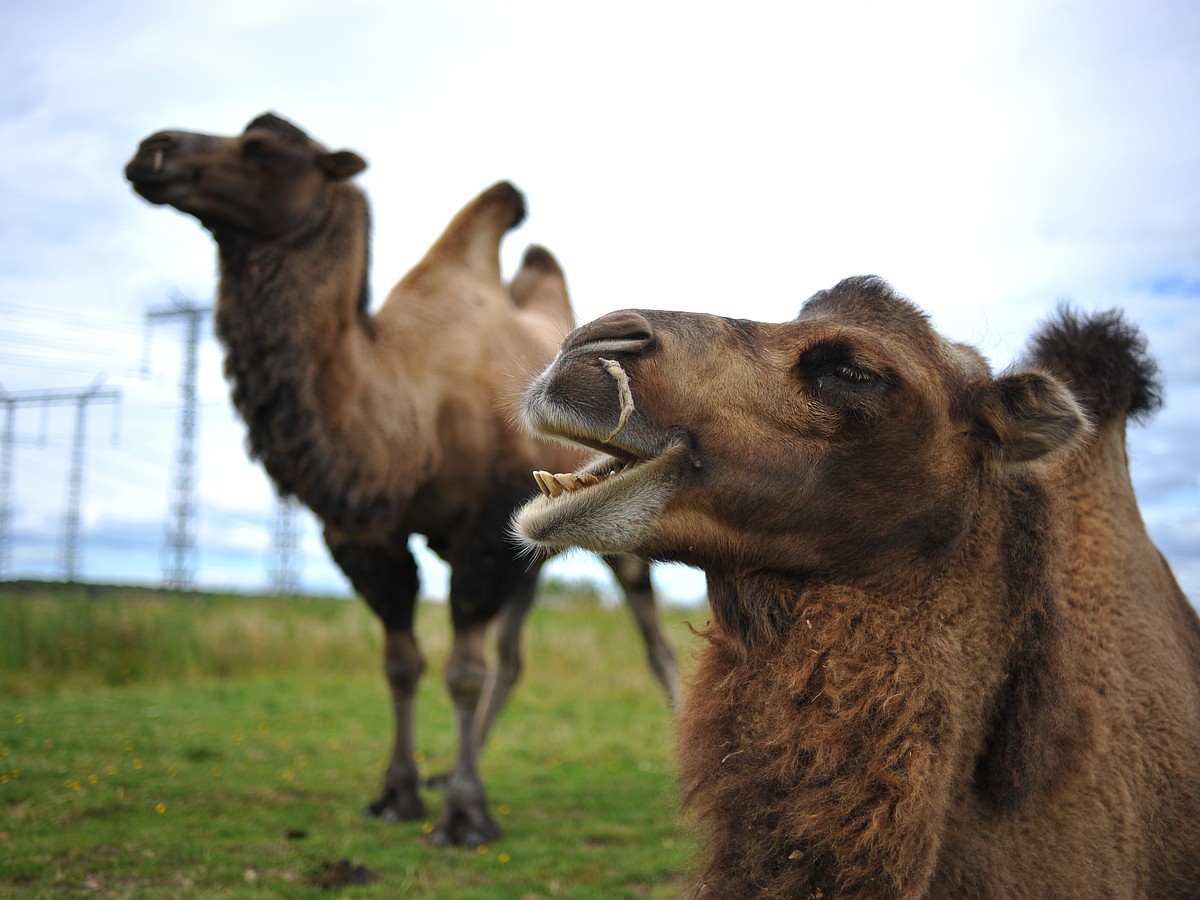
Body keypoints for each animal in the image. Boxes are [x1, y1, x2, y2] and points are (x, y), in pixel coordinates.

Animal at [127, 114, 686, 854]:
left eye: (263, 150)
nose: (153, 151)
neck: (407, 406)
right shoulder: (365, 535)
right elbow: (402, 662)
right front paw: (399, 792)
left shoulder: (482, 529)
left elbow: (463, 672)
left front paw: (465, 817)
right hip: (537, 540)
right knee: (514, 656)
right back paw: (452, 767)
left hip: (620, 516)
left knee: (651, 640)